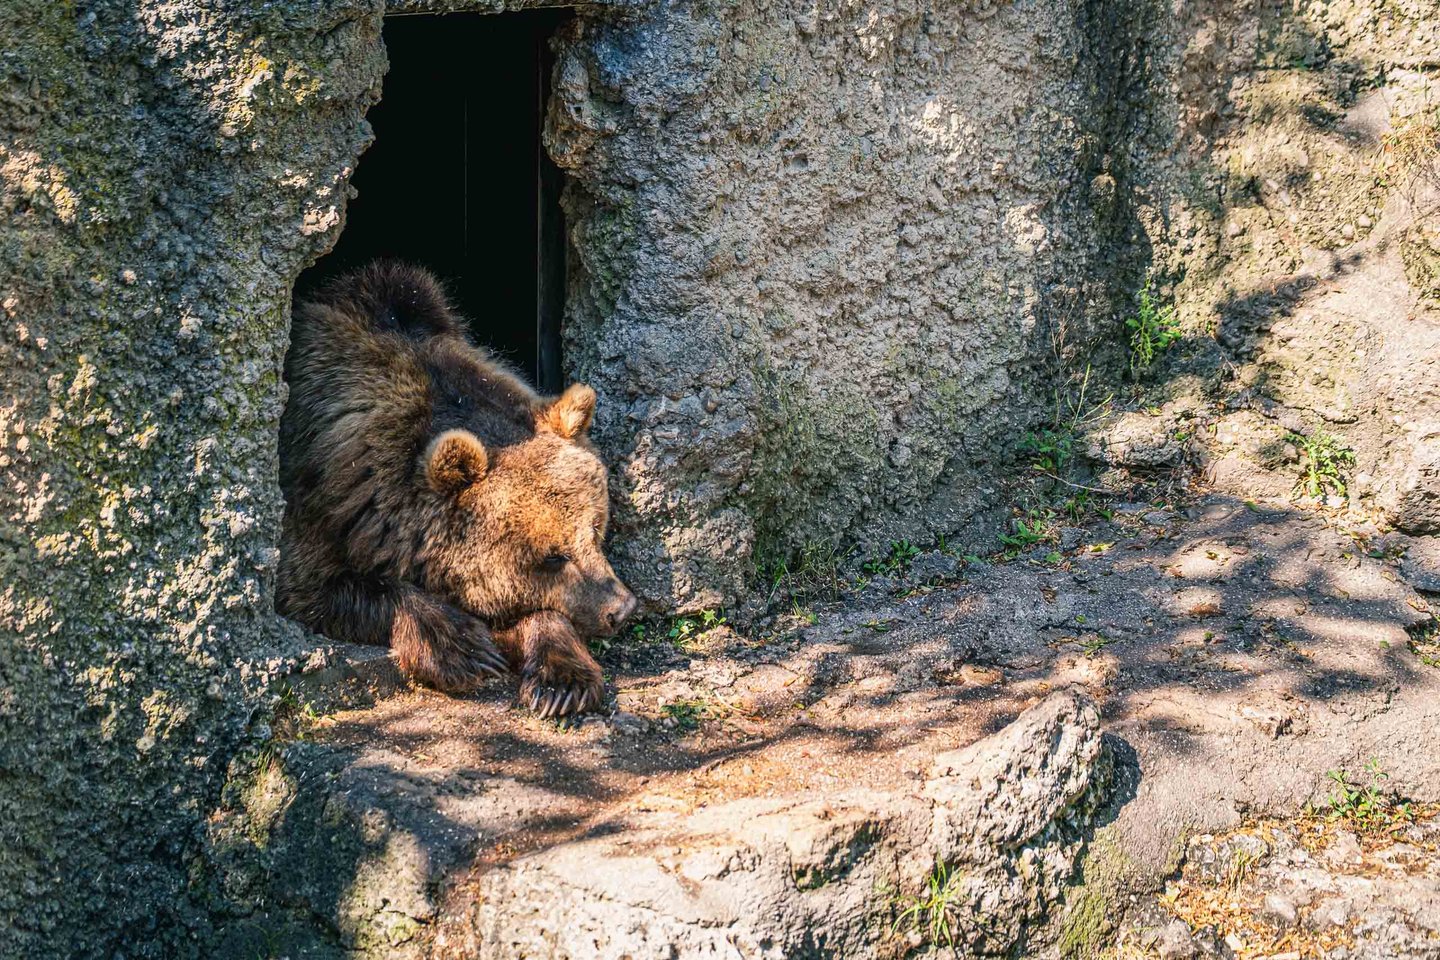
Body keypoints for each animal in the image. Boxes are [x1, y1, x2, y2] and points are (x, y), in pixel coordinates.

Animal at [277, 260, 636, 717]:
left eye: (594, 528)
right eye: (552, 556)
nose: (620, 608)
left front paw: (562, 681)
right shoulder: (320, 506)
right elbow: (323, 585)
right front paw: (465, 648)